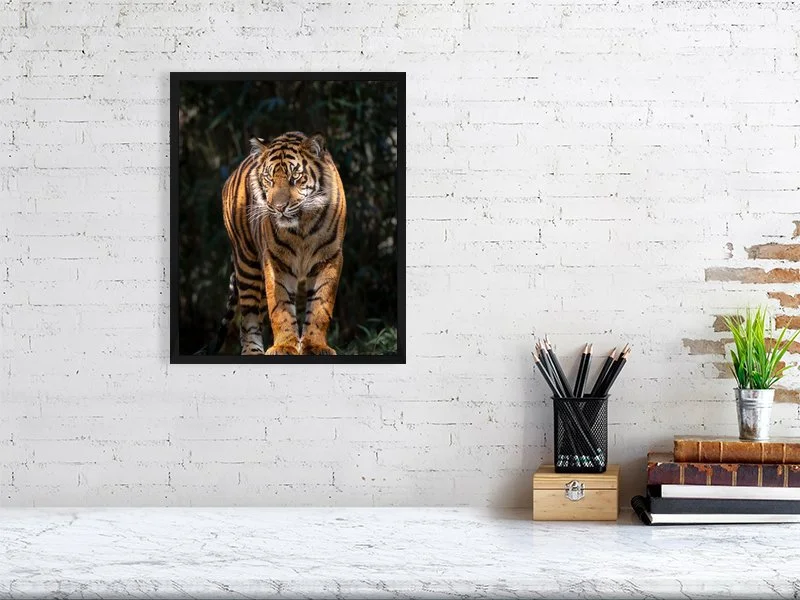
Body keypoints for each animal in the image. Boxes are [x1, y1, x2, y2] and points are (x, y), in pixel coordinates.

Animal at [215, 131, 346, 356]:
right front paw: (284, 346)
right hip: (247, 264)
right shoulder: (275, 262)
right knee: (248, 318)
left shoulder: (329, 258)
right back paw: (252, 352)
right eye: (269, 178)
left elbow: (320, 306)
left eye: (295, 178)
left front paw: (316, 346)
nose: (278, 207)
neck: (303, 226)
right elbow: (280, 307)